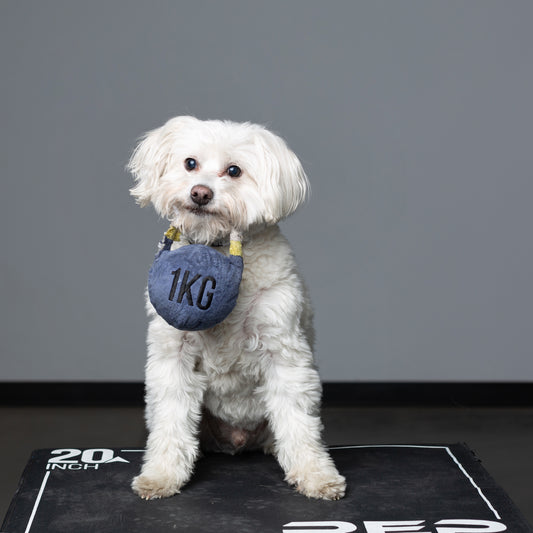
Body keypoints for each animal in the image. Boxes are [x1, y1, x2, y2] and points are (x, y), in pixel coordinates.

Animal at [128, 115, 344, 498]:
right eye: (190, 163)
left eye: (234, 170)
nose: (200, 193)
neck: (217, 246)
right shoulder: (173, 355)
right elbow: (170, 420)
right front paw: (162, 475)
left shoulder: (283, 352)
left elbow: (299, 423)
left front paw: (316, 475)